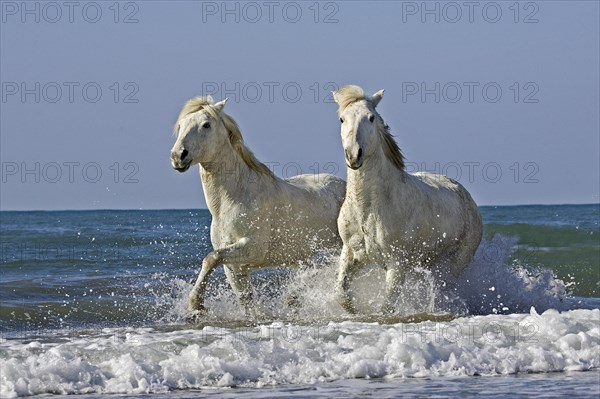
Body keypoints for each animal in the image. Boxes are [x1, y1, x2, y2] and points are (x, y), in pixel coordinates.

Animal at [171, 95, 344, 318]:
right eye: (181, 125)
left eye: (206, 124)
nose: (178, 156)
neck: (231, 201)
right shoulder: (236, 269)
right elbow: (246, 302)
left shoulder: (253, 248)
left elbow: (211, 258)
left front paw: (196, 304)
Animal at [332, 85, 482, 316]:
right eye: (342, 119)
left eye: (371, 117)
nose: (354, 155)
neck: (369, 209)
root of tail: (465, 194)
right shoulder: (349, 253)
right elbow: (341, 295)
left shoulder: (397, 265)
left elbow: (386, 307)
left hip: (457, 262)